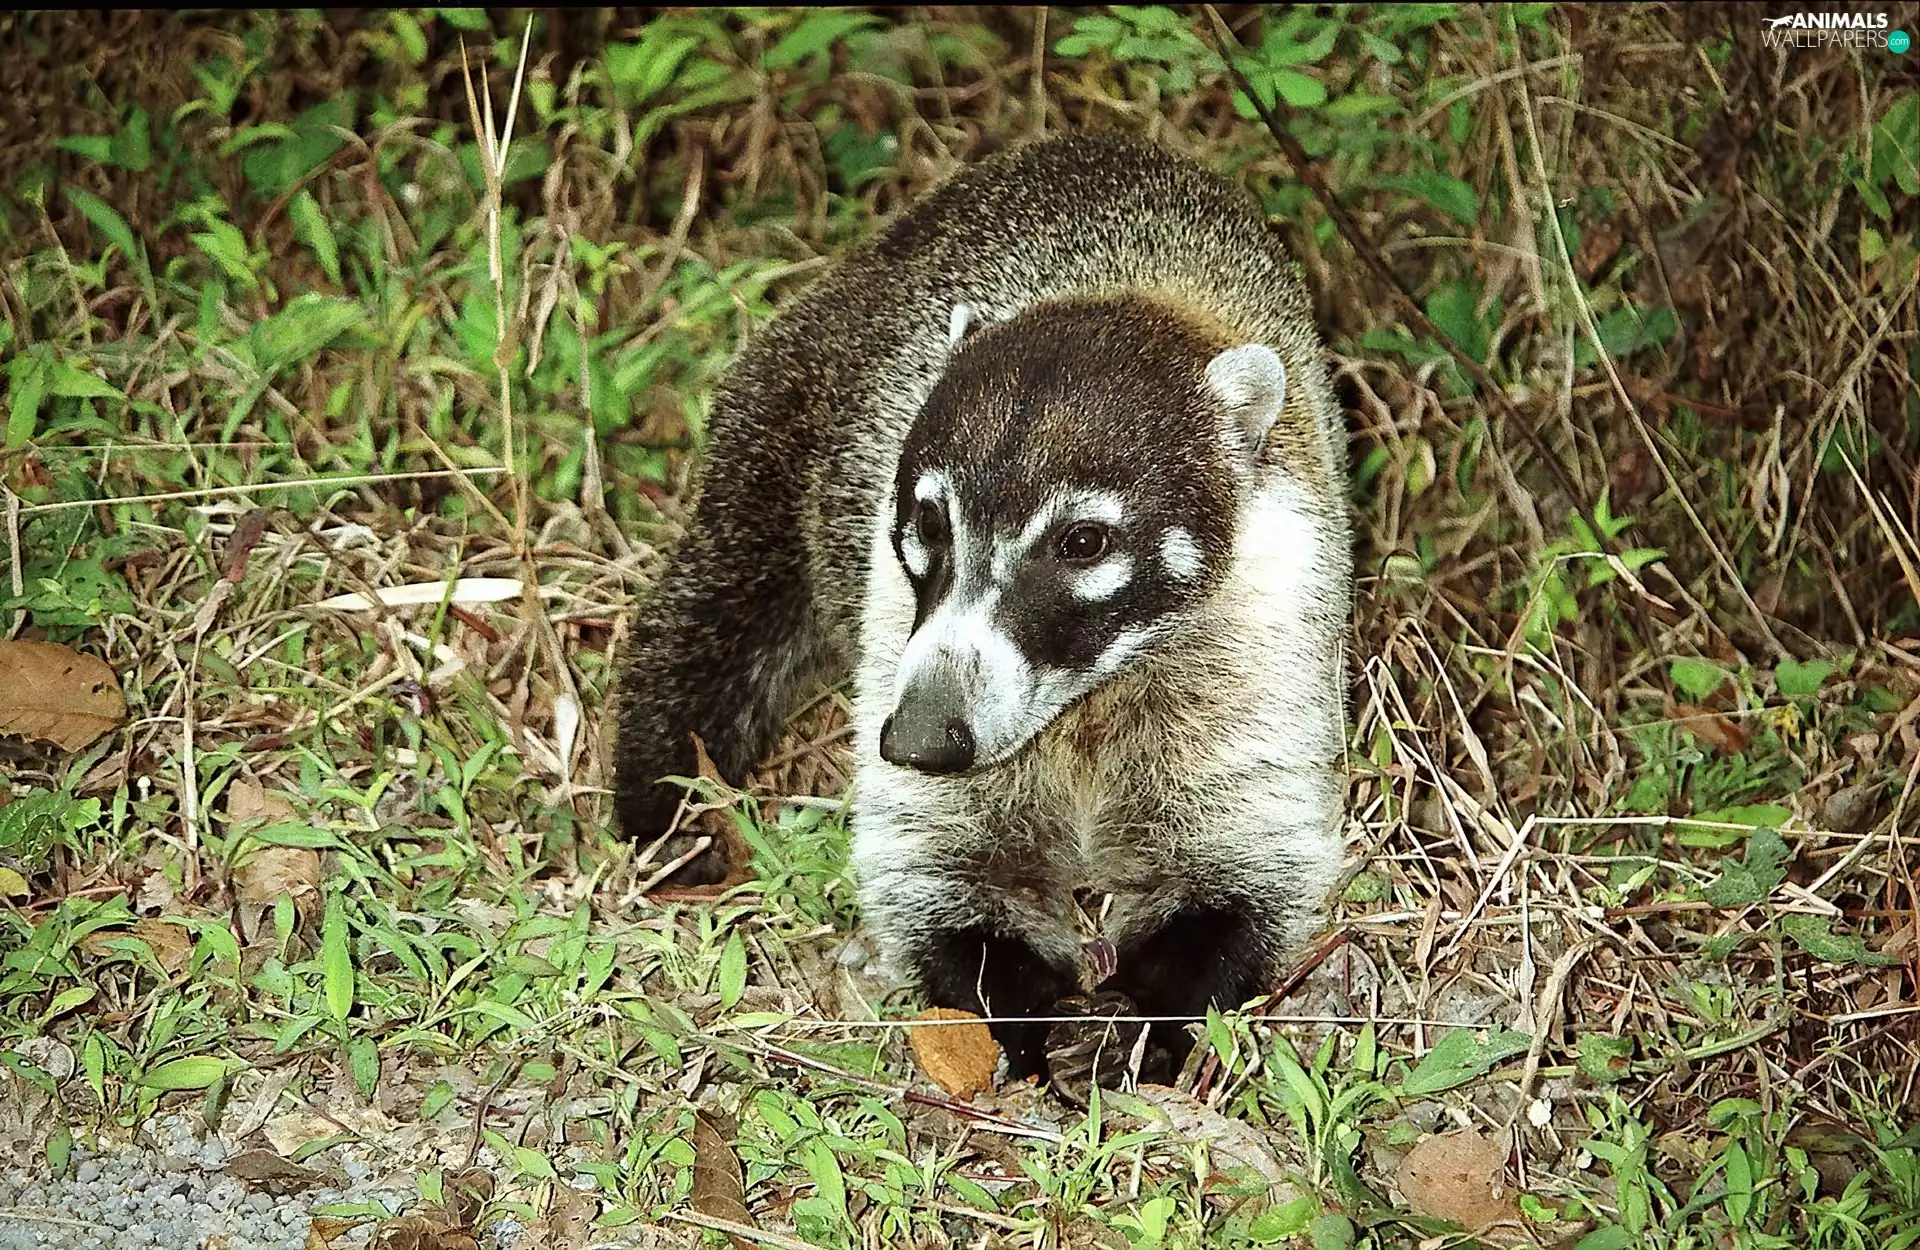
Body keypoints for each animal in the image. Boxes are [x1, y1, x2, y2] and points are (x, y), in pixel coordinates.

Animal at [614, 133, 1351, 1079]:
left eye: (1083, 542)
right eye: (930, 522)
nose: (917, 740)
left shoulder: (1264, 636)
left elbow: (1247, 866)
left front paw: (1142, 1012)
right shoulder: (892, 621)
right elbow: (934, 869)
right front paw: (1027, 1003)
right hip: (788, 406)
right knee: (719, 604)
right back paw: (665, 799)